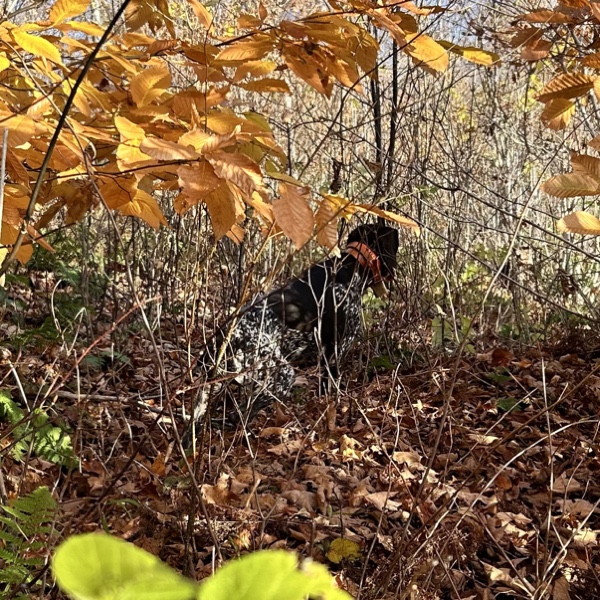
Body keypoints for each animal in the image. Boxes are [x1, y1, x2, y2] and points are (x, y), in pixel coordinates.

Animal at [183, 223, 398, 442]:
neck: (351, 264)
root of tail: (227, 337)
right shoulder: (337, 352)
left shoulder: (324, 355)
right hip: (281, 376)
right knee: (239, 414)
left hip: (211, 385)